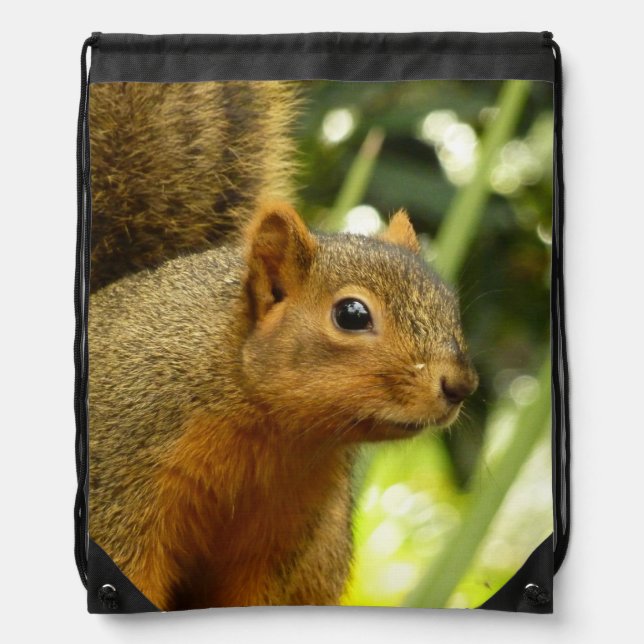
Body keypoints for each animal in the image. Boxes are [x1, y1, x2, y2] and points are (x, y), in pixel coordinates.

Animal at [87, 81, 478, 610]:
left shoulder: (284, 534)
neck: (274, 435)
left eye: (449, 304)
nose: (461, 385)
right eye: (352, 314)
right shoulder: (122, 482)